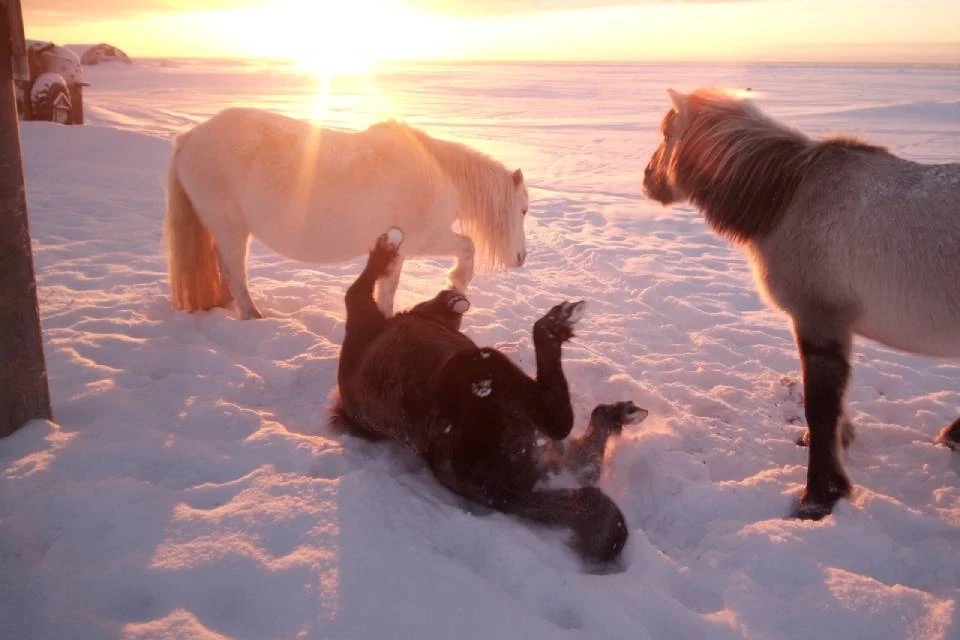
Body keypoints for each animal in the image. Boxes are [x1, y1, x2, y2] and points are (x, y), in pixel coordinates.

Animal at [161, 110, 528, 322]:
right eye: (523, 209)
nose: (522, 258)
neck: (438, 173)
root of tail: (191, 137)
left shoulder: (399, 249)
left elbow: (387, 287)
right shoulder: (425, 239)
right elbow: (466, 246)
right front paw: (459, 279)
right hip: (232, 229)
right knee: (233, 270)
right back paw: (252, 315)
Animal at [640, 86, 956, 520]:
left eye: (665, 133)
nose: (646, 179)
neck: (788, 199)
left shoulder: (817, 320)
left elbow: (820, 408)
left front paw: (819, 495)